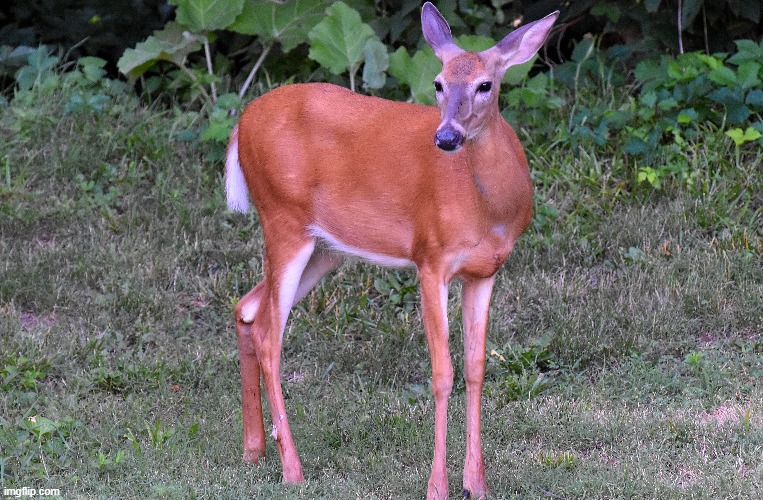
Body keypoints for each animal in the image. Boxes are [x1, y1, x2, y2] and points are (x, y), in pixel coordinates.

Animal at [223, 3, 558, 498]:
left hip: (325, 247)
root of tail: (241, 122)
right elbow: (442, 373)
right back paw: (292, 469)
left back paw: (253, 450)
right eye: (438, 83)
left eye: (485, 84)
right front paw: (437, 487)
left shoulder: (486, 271)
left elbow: (476, 367)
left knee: (246, 308)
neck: (489, 210)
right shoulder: (431, 258)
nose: (446, 137)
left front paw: (476, 484)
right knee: (269, 332)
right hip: (283, 219)